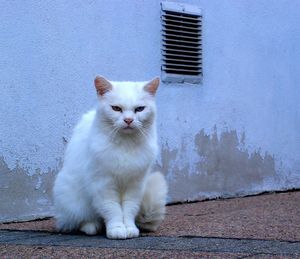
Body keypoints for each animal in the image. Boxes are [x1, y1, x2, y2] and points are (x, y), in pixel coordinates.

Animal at [53, 76, 168, 241]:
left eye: (139, 109)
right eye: (116, 108)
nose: (128, 120)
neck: (126, 145)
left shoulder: (135, 185)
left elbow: (128, 210)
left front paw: (130, 228)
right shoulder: (103, 185)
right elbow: (113, 210)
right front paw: (117, 229)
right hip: (71, 197)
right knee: (82, 219)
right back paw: (91, 227)